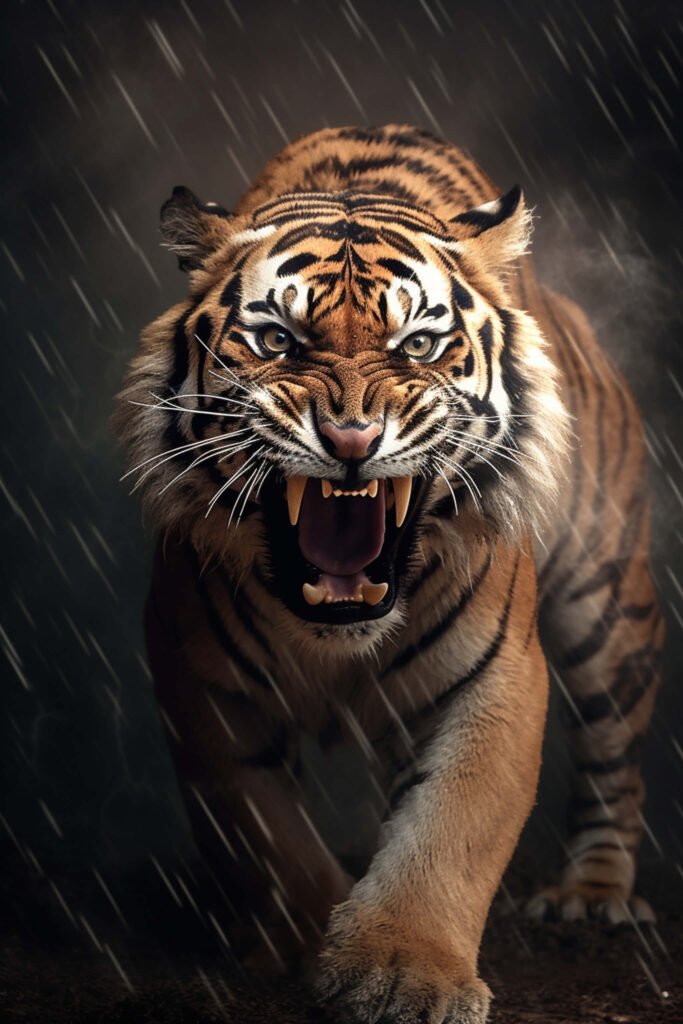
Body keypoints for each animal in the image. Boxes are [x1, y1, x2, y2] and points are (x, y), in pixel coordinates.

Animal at [114, 124, 663, 1024]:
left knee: (614, 758)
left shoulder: (495, 678)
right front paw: (306, 945)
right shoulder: (198, 682)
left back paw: (590, 896)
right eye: (277, 341)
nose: (349, 438)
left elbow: (450, 827)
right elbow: (268, 833)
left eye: (418, 346)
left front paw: (405, 973)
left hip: (607, 606)